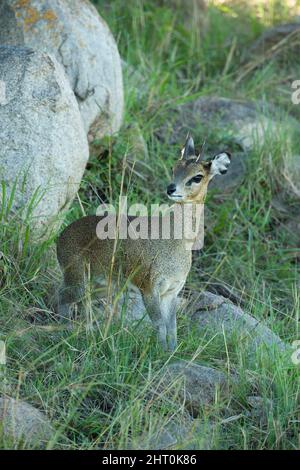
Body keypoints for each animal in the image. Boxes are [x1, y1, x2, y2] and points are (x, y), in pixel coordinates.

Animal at [56, 135, 231, 348]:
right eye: (174, 167)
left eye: (197, 176)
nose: (171, 189)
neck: (176, 242)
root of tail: (60, 237)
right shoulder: (148, 288)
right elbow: (160, 325)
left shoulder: (171, 291)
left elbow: (172, 328)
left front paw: (170, 351)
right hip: (78, 280)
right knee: (62, 297)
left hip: (100, 286)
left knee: (82, 304)